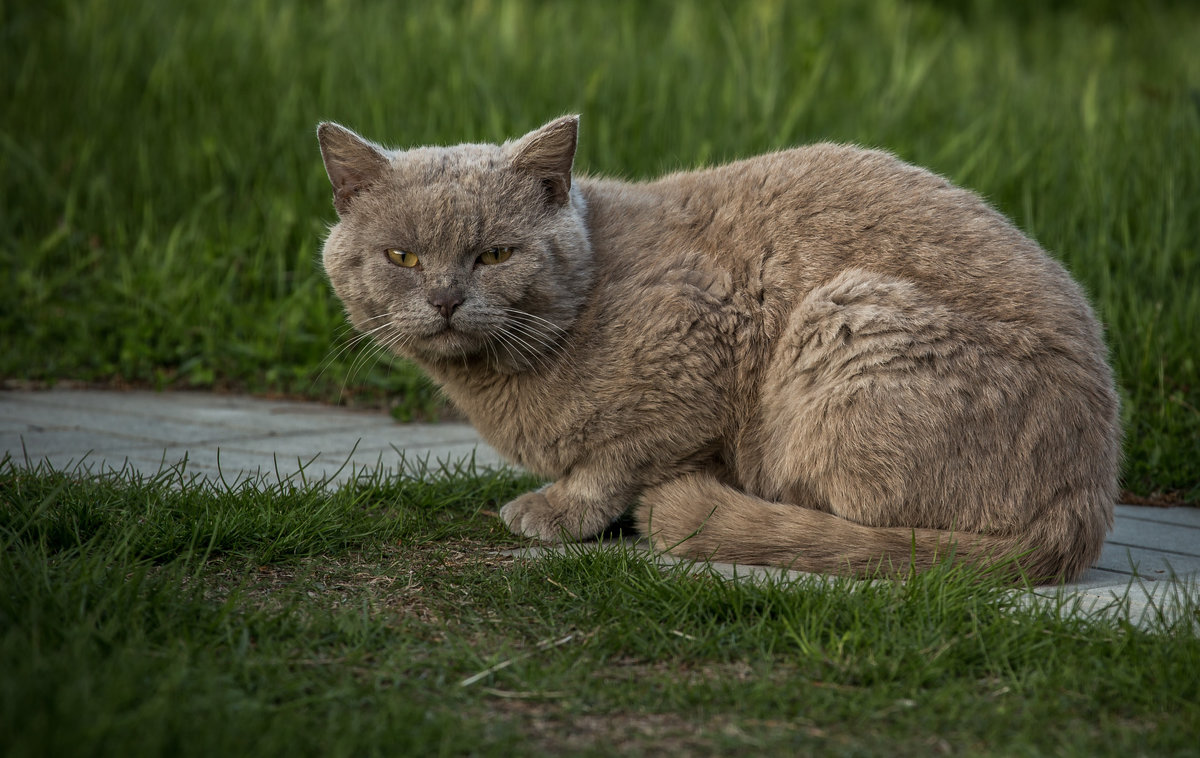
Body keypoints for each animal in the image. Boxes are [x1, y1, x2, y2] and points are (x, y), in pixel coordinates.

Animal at [314, 115, 1118, 582]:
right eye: (403, 256)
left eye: (495, 255)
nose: (446, 298)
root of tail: (1087, 501)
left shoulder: (695, 356)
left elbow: (616, 460)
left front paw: (563, 510)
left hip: (842, 317)